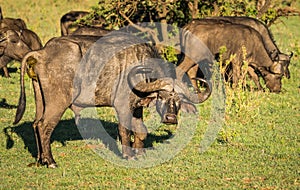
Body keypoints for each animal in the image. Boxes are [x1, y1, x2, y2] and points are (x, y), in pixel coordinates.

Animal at [14, 32, 211, 168]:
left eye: (179, 99)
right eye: (161, 96)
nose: (170, 118)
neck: (142, 68)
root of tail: (41, 53)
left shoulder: (136, 107)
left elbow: (141, 130)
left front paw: (139, 152)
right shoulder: (122, 107)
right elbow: (124, 130)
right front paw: (128, 155)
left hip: (40, 98)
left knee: (35, 124)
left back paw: (40, 160)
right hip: (58, 102)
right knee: (44, 126)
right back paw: (51, 161)